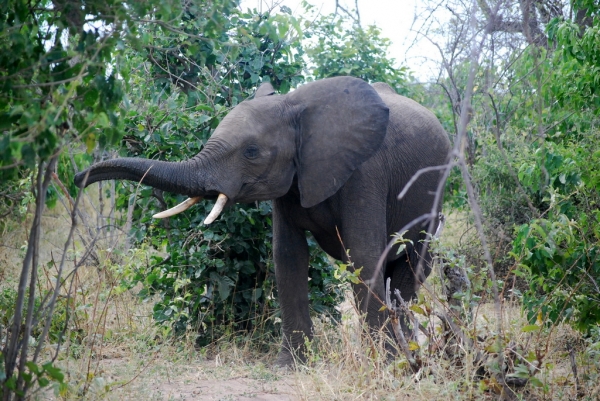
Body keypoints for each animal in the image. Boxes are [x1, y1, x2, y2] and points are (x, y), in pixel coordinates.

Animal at [74, 75, 450, 366]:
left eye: (251, 152)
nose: (79, 178)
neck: (295, 107)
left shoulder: (365, 172)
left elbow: (363, 256)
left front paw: (384, 365)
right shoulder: (290, 182)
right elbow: (288, 256)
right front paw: (290, 366)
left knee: (410, 267)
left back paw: (405, 354)